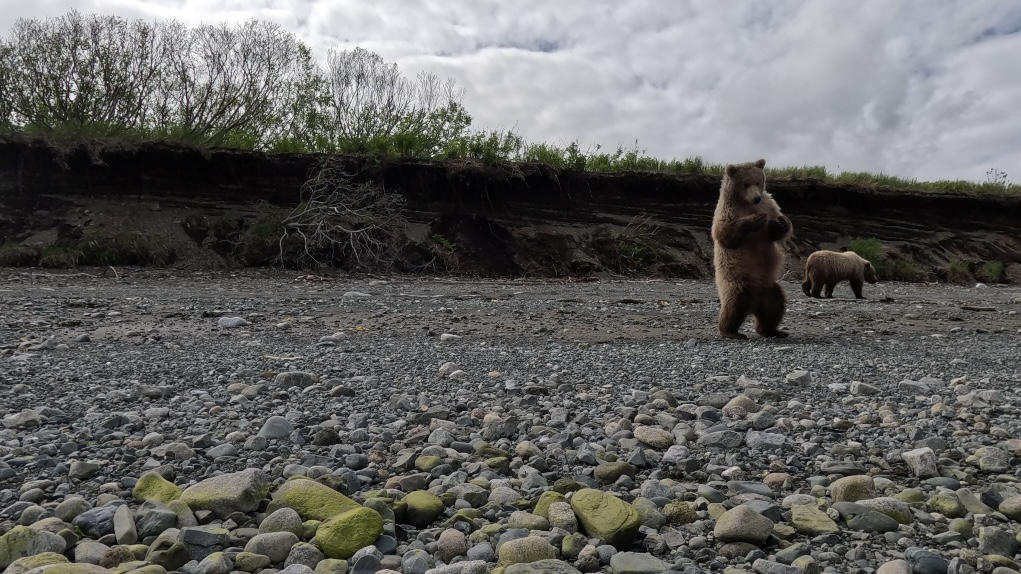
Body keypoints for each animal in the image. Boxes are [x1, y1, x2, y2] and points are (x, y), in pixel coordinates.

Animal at [710, 158, 793, 339]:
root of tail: (755, 303)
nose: (756, 198)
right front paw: (755, 219)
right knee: (734, 304)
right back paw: (731, 331)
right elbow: (724, 233)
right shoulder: (727, 211)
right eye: (745, 183)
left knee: (775, 306)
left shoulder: (769, 204)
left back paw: (774, 330)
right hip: (738, 281)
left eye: (757, 181)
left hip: (769, 288)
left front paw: (780, 223)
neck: (746, 203)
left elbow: (779, 228)